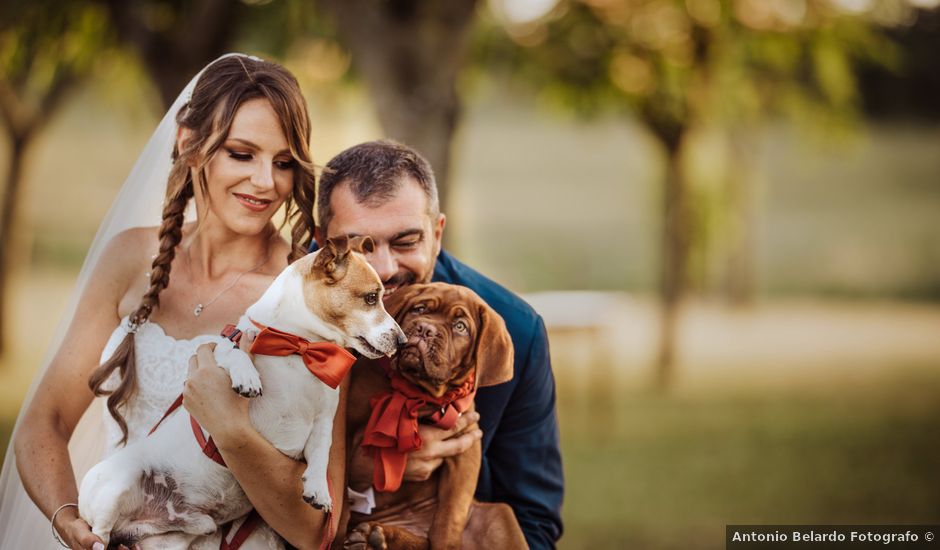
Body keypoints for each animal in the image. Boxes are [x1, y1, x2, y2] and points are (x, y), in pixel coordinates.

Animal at [81, 237, 404, 550]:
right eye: (371, 298)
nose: (402, 341)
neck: (298, 346)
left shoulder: (324, 421)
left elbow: (321, 453)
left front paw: (318, 488)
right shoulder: (219, 351)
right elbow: (235, 351)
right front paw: (247, 376)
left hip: (170, 540)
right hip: (117, 486)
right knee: (100, 534)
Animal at [340, 284, 528, 550]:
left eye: (460, 326)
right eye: (419, 309)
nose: (425, 329)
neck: (415, 393)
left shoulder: (464, 453)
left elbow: (450, 516)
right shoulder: (345, 428)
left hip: (499, 516)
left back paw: (376, 538)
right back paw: (373, 538)